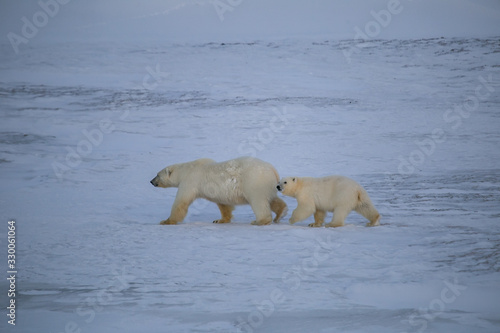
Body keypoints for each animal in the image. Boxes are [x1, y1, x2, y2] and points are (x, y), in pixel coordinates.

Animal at [150, 157, 288, 224]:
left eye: (157, 174)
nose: (151, 181)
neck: (186, 170)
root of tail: (272, 169)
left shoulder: (190, 181)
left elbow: (181, 202)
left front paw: (166, 221)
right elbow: (223, 204)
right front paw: (220, 220)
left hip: (254, 181)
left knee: (258, 201)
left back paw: (259, 221)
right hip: (267, 184)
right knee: (271, 198)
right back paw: (281, 213)